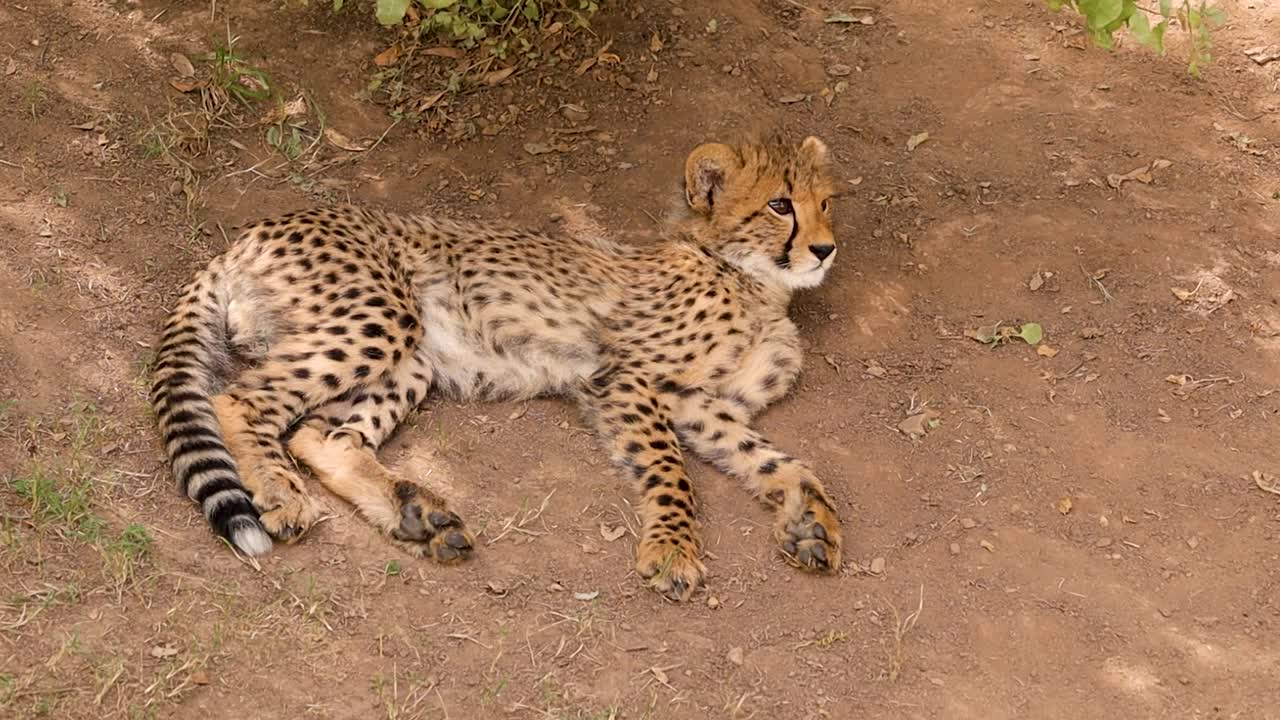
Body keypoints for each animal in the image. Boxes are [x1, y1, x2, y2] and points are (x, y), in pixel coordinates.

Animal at [149, 132, 844, 601]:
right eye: (781, 205)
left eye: (827, 202)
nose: (825, 248)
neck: (754, 281)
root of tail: (255, 229)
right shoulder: (626, 380)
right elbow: (672, 472)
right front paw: (673, 549)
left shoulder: (702, 403)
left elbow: (782, 462)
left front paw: (812, 520)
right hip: (382, 318)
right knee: (241, 400)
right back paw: (279, 492)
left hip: (413, 358)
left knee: (324, 437)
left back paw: (418, 517)